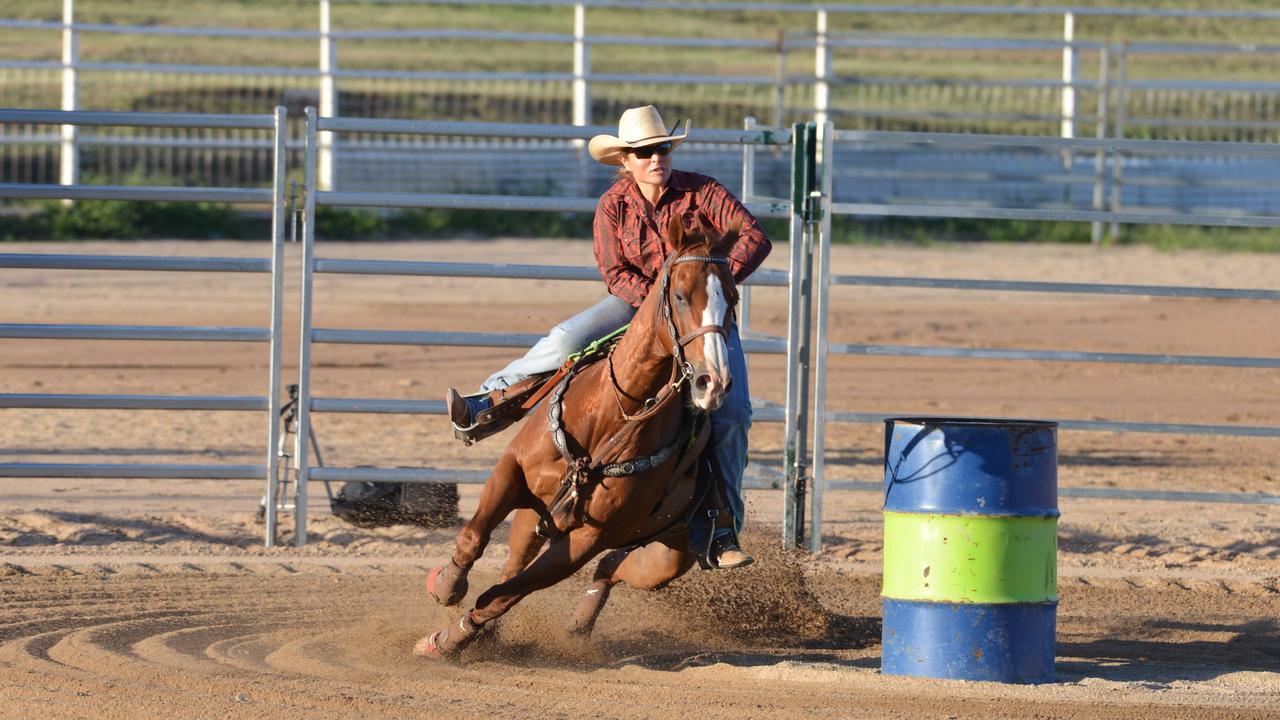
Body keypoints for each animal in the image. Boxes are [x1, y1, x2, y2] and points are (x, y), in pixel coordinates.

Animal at [419, 213, 742, 655]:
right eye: (679, 295)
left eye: (734, 299)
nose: (714, 382)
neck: (612, 416)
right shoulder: (513, 468)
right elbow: (474, 536)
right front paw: (447, 587)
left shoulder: (588, 537)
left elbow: (504, 595)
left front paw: (448, 639)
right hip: (535, 514)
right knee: (520, 561)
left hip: (667, 554)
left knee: (609, 566)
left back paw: (579, 622)